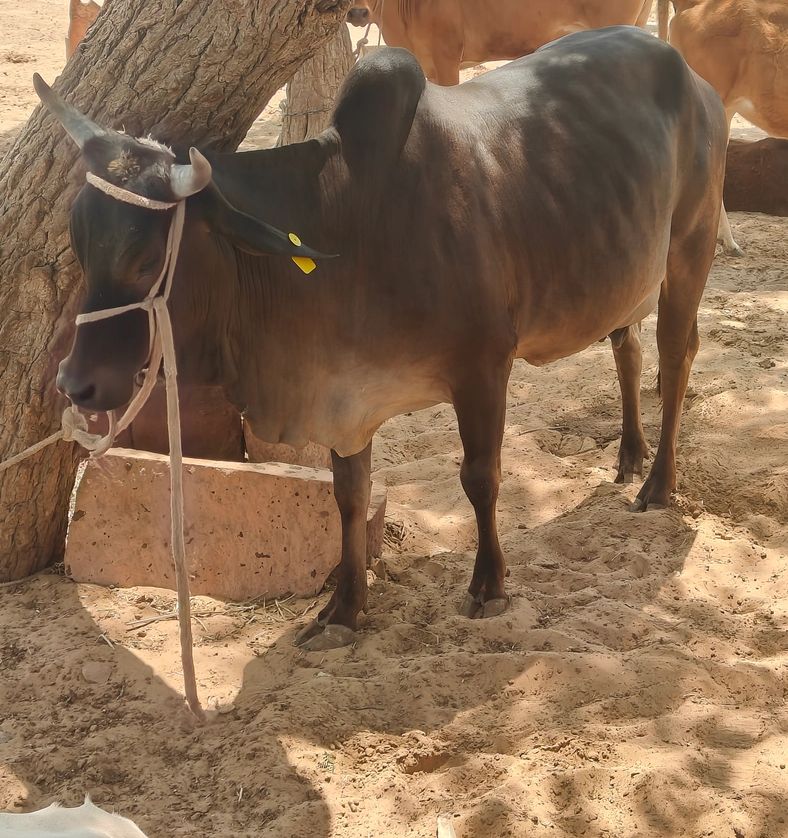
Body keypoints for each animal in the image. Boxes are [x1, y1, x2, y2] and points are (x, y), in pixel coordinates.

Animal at [35, 27, 727, 650]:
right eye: (79, 241)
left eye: (146, 260)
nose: (75, 383)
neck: (345, 220)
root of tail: (693, 78)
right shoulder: (345, 396)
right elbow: (349, 496)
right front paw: (343, 610)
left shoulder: (484, 367)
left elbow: (480, 476)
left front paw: (488, 586)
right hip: (623, 273)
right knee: (627, 348)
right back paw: (629, 455)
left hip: (689, 252)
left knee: (676, 358)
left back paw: (657, 483)